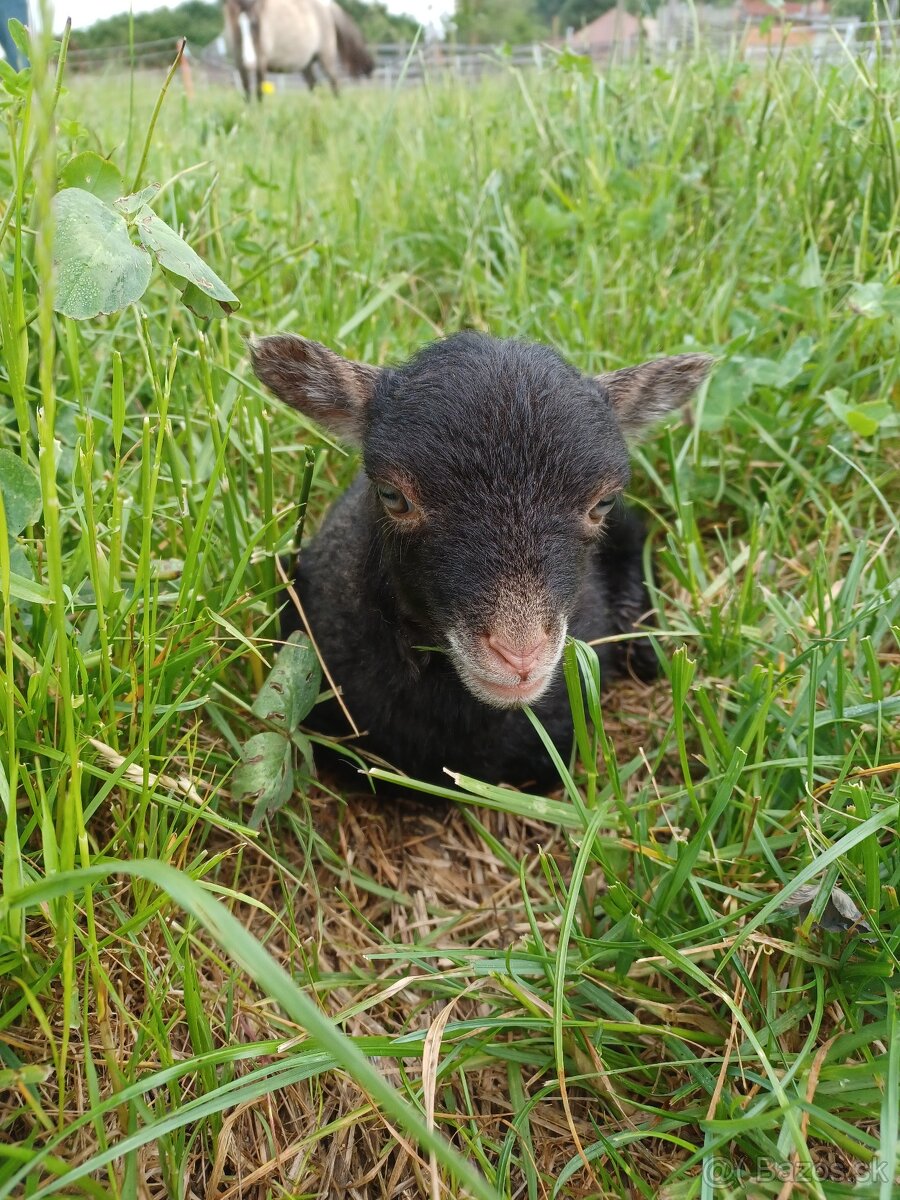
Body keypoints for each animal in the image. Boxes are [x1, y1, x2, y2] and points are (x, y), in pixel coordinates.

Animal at [224, 0, 374, 99]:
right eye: (236, 25)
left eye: (254, 24)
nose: (250, 62)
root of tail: (327, 6)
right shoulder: (240, 64)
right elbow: (247, 93)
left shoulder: (261, 63)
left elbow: (259, 93)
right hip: (306, 64)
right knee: (313, 85)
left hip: (326, 58)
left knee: (334, 83)